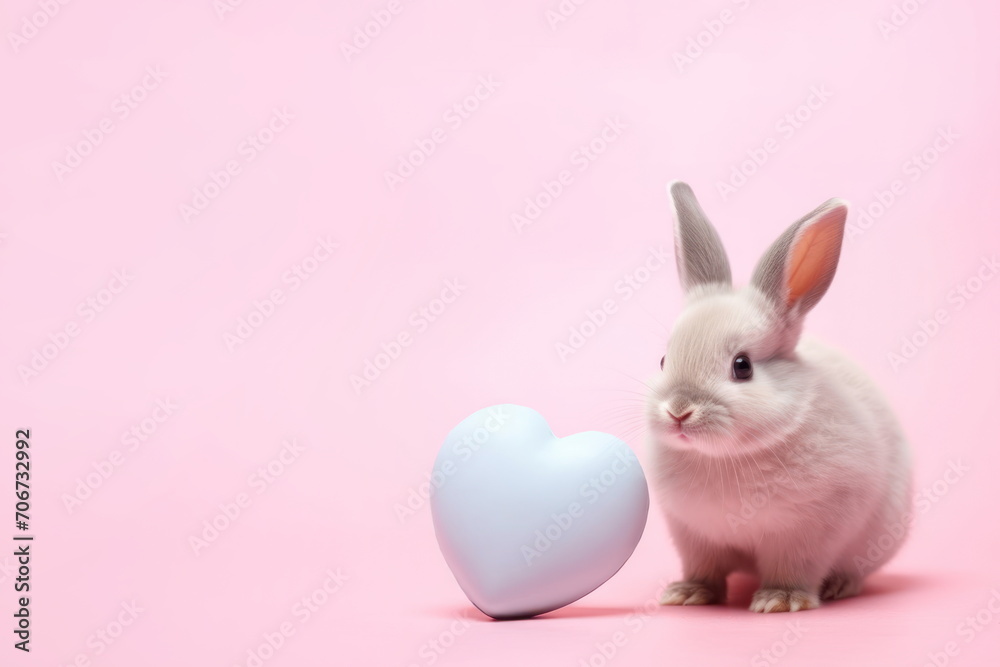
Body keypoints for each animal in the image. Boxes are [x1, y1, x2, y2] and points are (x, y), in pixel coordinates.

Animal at [646, 181, 912, 613]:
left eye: (742, 366)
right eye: (664, 360)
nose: (679, 411)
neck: (723, 458)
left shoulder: (808, 532)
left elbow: (794, 568)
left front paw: (780, 601)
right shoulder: (693, 536)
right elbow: (704, 568)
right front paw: (687, 594)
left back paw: (840, 585)